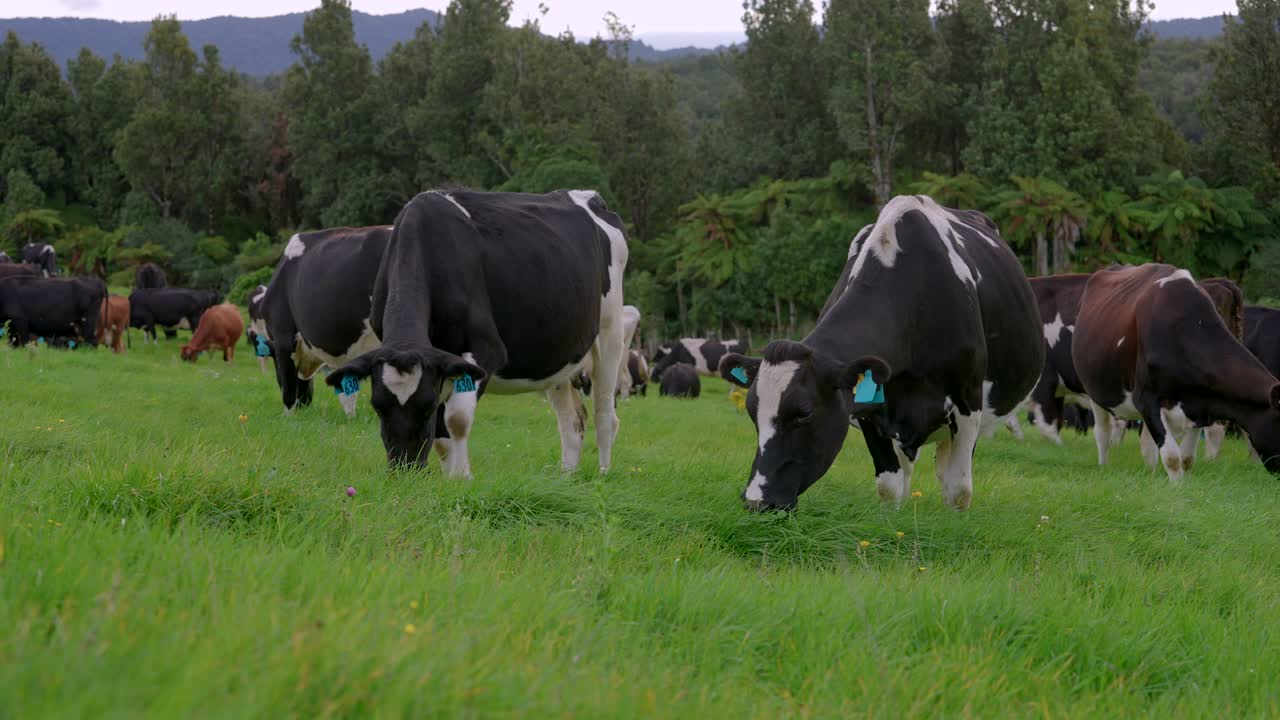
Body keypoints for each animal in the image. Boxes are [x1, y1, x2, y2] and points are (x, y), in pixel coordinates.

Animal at [324, 189, 628, 475]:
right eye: (378, 406)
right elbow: (442, 437)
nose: (404, 468)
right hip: (558, 356)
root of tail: (591, 198)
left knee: (605, 415)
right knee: (572, 420)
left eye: (427, 406)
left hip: (610, 332)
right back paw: (566, 477)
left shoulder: (485, 350)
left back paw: (602, 474)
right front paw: (450, 479)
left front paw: (461, 478)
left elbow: (455, 420)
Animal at [719, 195, 1043, 511]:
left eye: (805, 412)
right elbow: (890, 487)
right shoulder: (870, 407)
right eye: (751, 411)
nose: (757, 502)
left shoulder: (968, 399)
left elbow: (959, 490)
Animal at [1073, 264, 1280, 480]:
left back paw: (1151, 473)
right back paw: (1104, 467)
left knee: (1146, 442)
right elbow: (1172, 457)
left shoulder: (1201, 405)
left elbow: (1186, 458)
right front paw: (1176, 485)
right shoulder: (1146, 399)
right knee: (1102, 432)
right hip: (1096, 392)